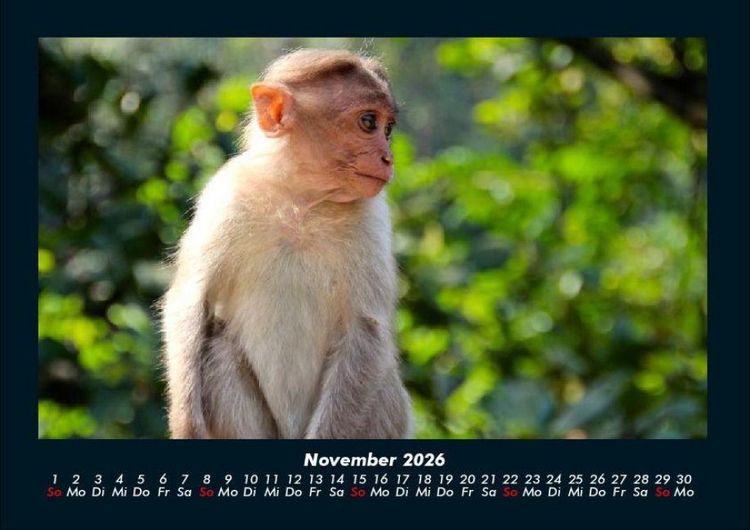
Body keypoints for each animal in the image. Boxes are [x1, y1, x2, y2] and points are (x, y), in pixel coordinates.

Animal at [161, 49, 413, 439]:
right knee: (217, 350)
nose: (388, 158)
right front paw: (187, 423)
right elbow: (190, 298)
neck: (301, 199)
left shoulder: (373, 218)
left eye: (388, 129)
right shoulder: (226, 194)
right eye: (369, 122)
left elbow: (366, 330)